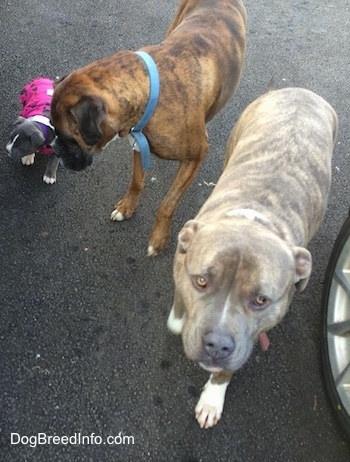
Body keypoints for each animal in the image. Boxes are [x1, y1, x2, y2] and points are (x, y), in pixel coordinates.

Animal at [50, 0, 246, 256]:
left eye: (68, 138)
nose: (54, 147)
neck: (151, 89)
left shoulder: (195, 157)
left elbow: (167, 203)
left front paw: (159, 237)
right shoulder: (138, 143)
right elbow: (136, 181)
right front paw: (127, 207)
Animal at [168, 87, 338, 430]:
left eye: (261, 300)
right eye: (201, 281)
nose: (217, 345)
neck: (254, 218)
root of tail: (300, 90)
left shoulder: (250, 334)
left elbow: (225, 371)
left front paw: (212, 398)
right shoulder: (181, 268)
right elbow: (179, 306)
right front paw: (178, 320)